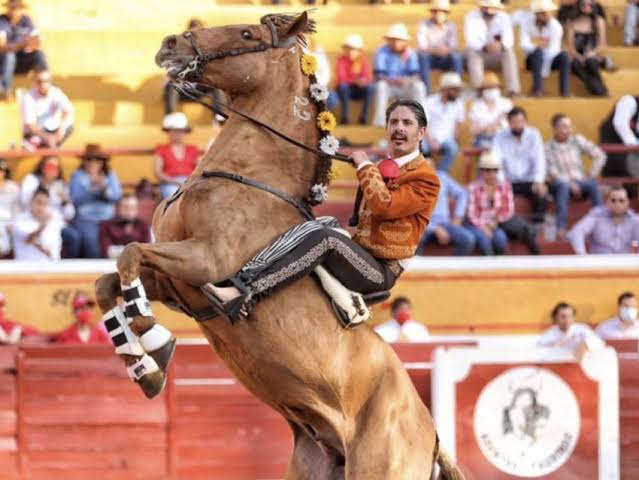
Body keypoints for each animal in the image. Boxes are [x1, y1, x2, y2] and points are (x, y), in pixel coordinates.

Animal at [95, 12, 462, 480]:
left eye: (247, 33)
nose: (170, 43)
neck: (251, 176)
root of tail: (433, 437)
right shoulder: (175, 282)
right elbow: (108, 280)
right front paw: (145, 366)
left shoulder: (204, 260)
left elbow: (129, 252)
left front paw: (152, 334)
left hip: (379, 466)